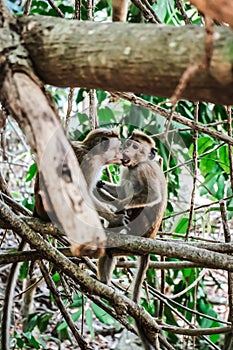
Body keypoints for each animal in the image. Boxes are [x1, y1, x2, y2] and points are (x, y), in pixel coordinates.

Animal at [96, 129, 167, 350]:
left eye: (136, 146)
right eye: (128, 144)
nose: (125, 150)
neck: (137, 164)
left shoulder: (145, 169)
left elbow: (153, 196)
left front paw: (118, 205)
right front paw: (101, 184)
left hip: (138, 235)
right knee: (109, 252)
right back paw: (103, 282)